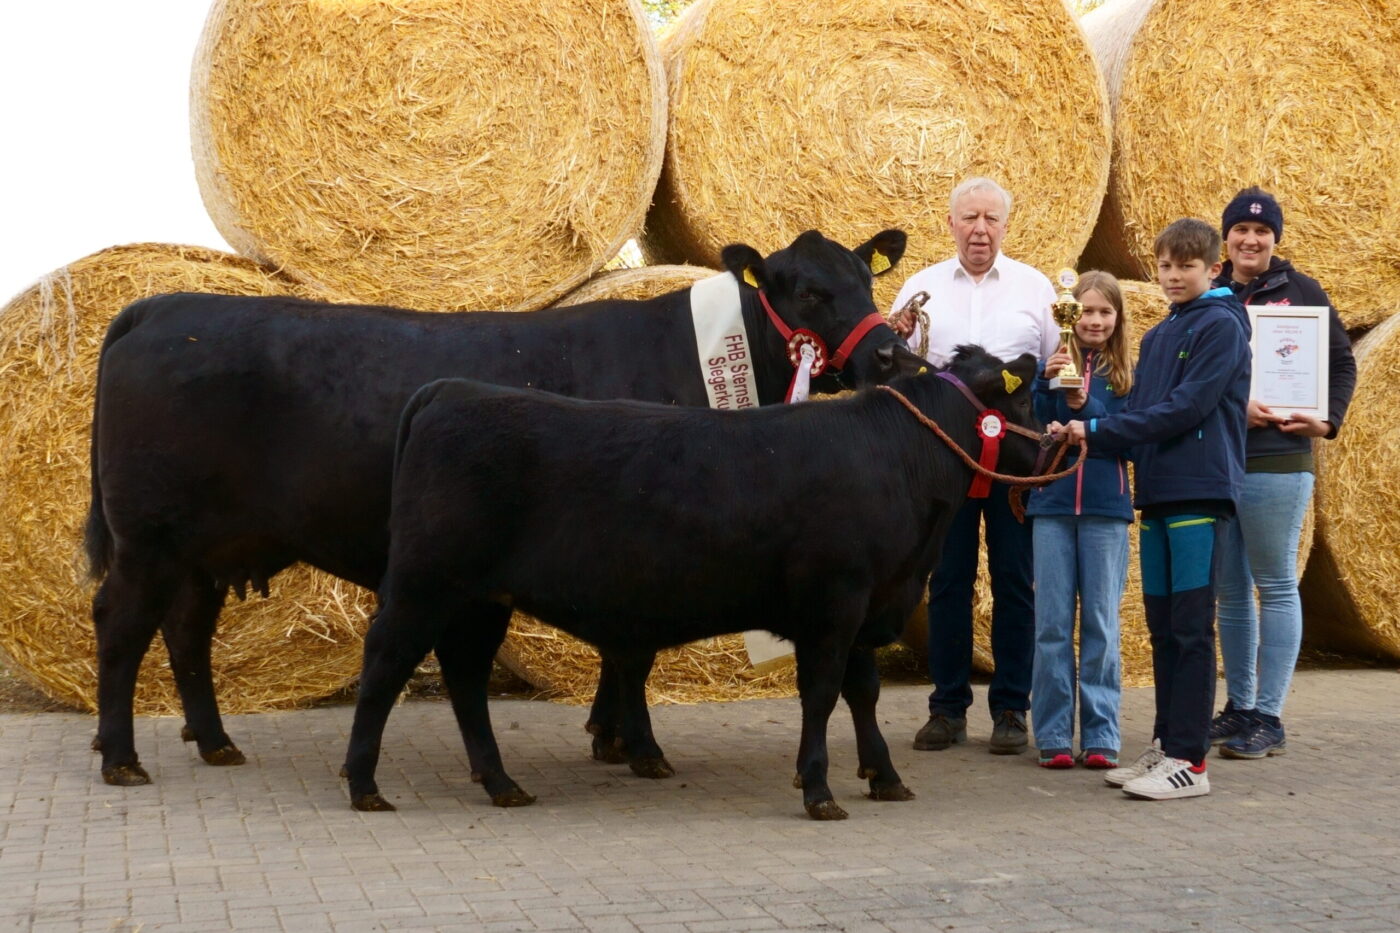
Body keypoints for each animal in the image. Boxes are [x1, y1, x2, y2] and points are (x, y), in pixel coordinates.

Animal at [85, 229, 911, 787]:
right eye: (808, 290)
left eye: (866, 283)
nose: (889, 355)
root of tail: (159, 306)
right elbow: (632, 649)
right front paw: (637, 745)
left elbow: (622, 647)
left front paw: (609, 735)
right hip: (148, 537)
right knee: (122, 625)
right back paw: (122, 756)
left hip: (204, 548)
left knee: (186, 632)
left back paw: (214, 740)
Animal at [341, 346, 1054, 820]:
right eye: (1021, 397)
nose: (1058, 448)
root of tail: (451, 390)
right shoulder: (835, 601)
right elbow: (823, 695)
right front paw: (818, 788)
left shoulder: (866, 605)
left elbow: (864, 694)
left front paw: (883, 775)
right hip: (424, 583)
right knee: (385, 666)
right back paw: (363, 784)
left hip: (481, 600)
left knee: (465, 679)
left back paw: (501, 784)